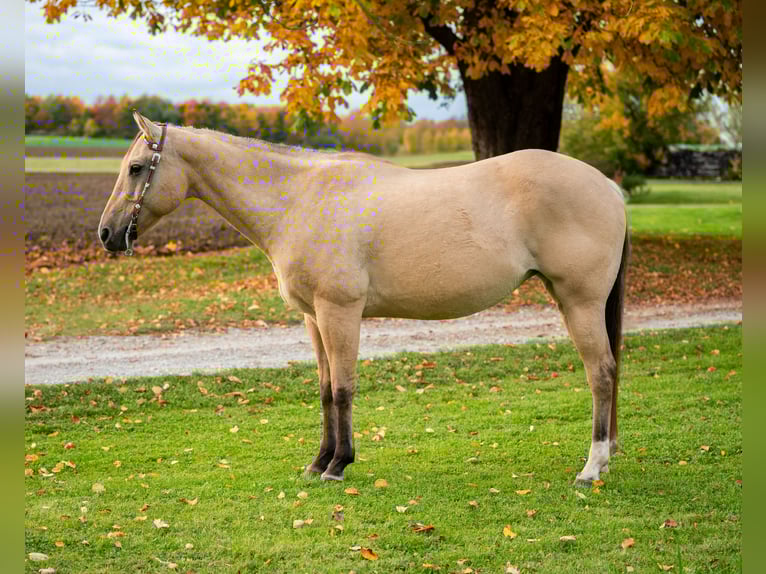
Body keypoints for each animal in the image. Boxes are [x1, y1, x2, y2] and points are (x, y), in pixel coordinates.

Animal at [99, 112, 629, 486]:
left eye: (136, 168)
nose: (106, 234)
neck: (297, 199)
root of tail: (608, 185)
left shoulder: (340, 312)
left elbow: (343, 389)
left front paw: (338, 465)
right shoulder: (314, 319)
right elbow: (323, 390)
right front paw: (318, 462)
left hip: (579, 302)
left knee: (600, 373)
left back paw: (591, 467)